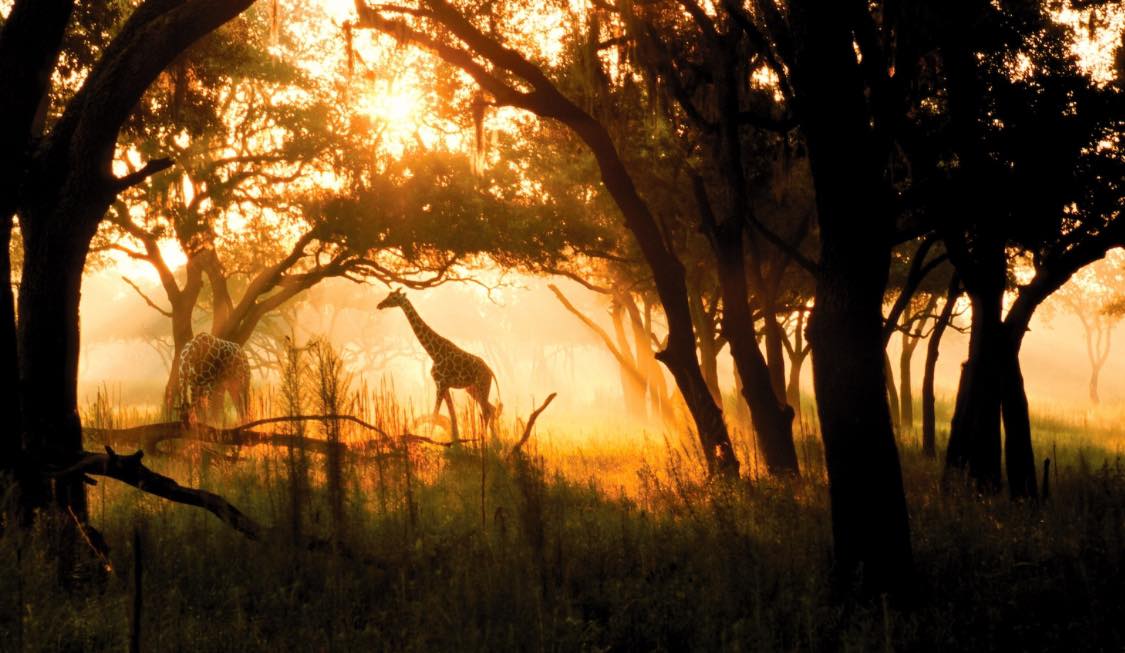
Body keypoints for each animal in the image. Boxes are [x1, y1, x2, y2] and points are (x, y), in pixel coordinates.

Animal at [378, 289, 499, 440]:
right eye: (388, 295)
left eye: (394, 297)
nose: (379, 305)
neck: (433, 352)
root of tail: (491, 372)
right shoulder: (444, 385)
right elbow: (452, 416)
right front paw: (455, 440)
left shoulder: (440, 384)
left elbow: (435, 414)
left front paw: (429, 438)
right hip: (472, 389)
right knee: (491, 408)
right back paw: (493, 440)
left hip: (481, 386)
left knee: (486, 411)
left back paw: (483, 439)